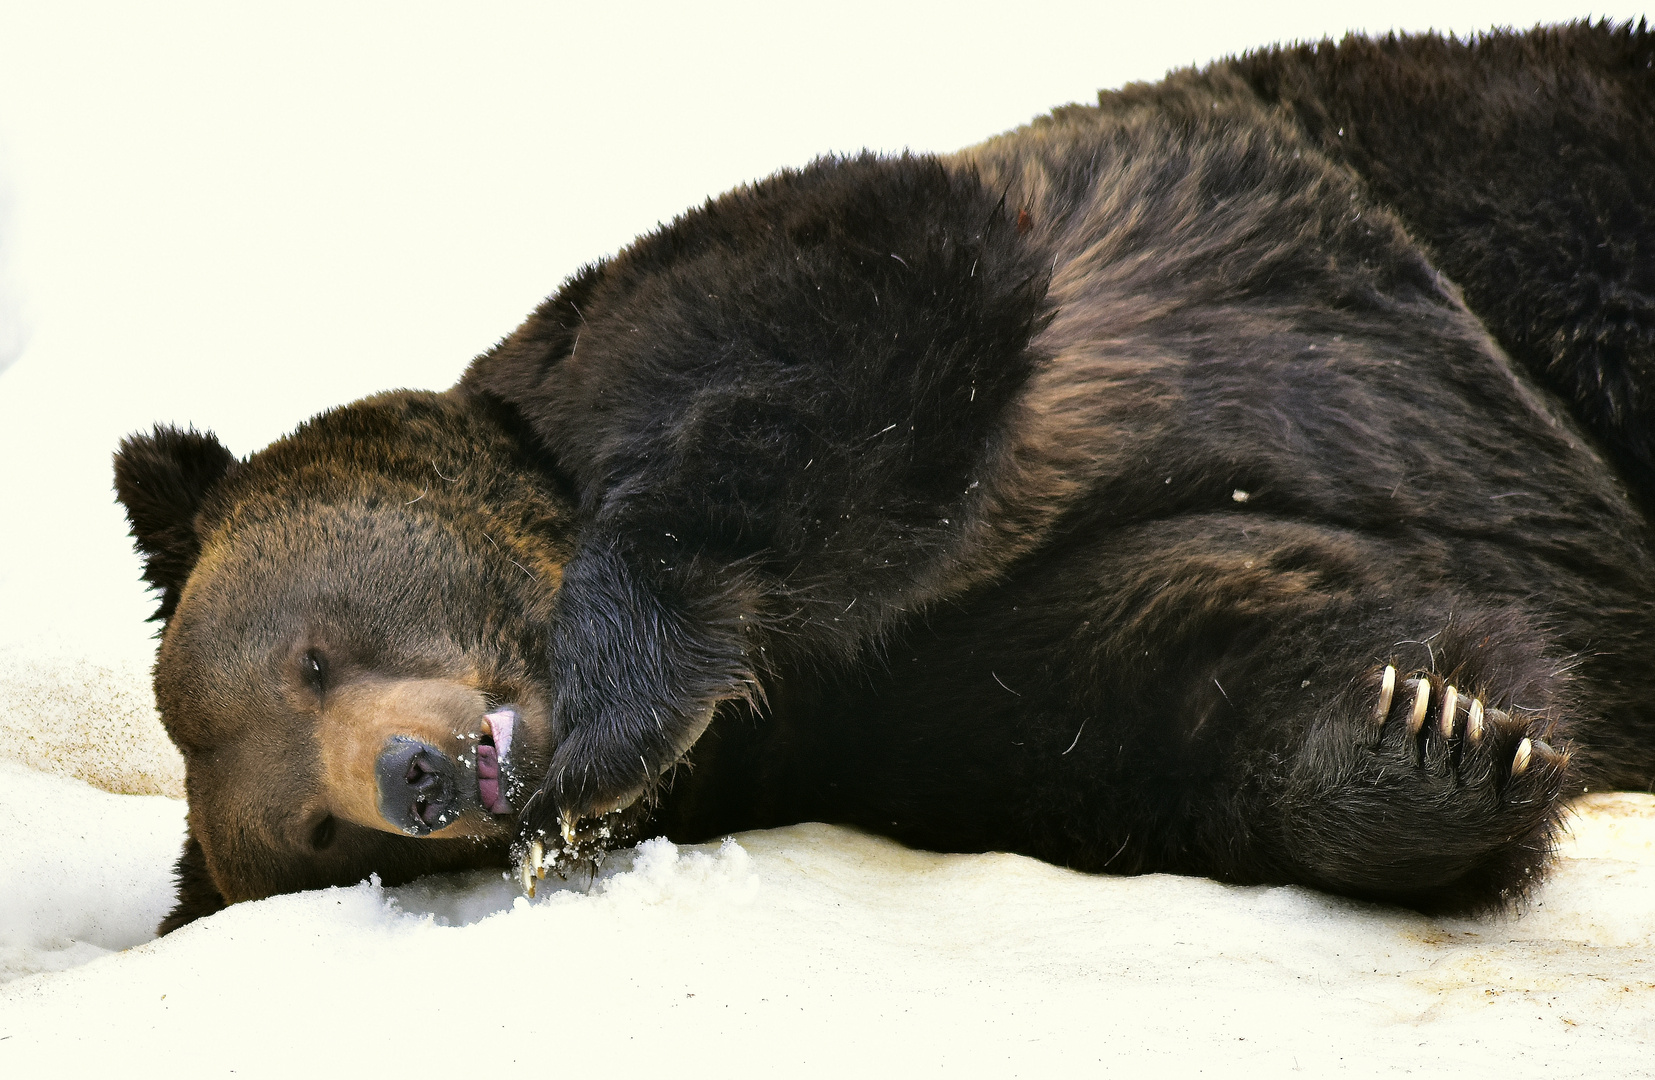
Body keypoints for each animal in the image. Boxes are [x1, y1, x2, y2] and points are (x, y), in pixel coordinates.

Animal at [116, 25, 1655, 932]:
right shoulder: (912, 709)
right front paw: (1425, 734)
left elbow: (848, 317)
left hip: (1505, 180)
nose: (419, 775)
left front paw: (617, 709)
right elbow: (1186, 659)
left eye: (314, 651)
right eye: (320, 833)